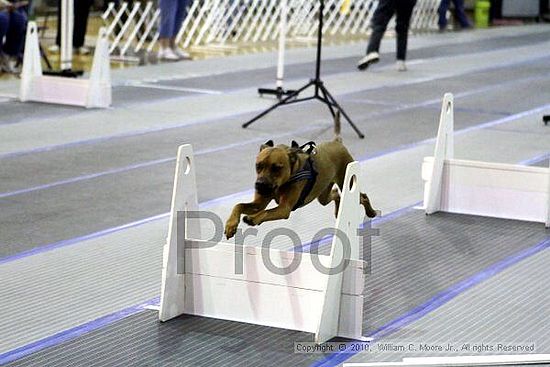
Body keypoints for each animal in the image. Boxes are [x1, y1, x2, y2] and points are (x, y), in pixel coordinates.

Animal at [223, 122, 376, 240]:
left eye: (276, 168)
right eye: (258, 166)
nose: (259, 185)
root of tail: (337, 142)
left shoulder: (284, 208)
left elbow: (265, 212)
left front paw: (253, 218)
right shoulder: (259, 203)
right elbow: (238, 205)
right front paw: (231, 225)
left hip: (347, 181)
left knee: (362, 197)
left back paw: (371, 212)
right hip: (323, 194)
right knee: (335, 194)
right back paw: (338, 210)